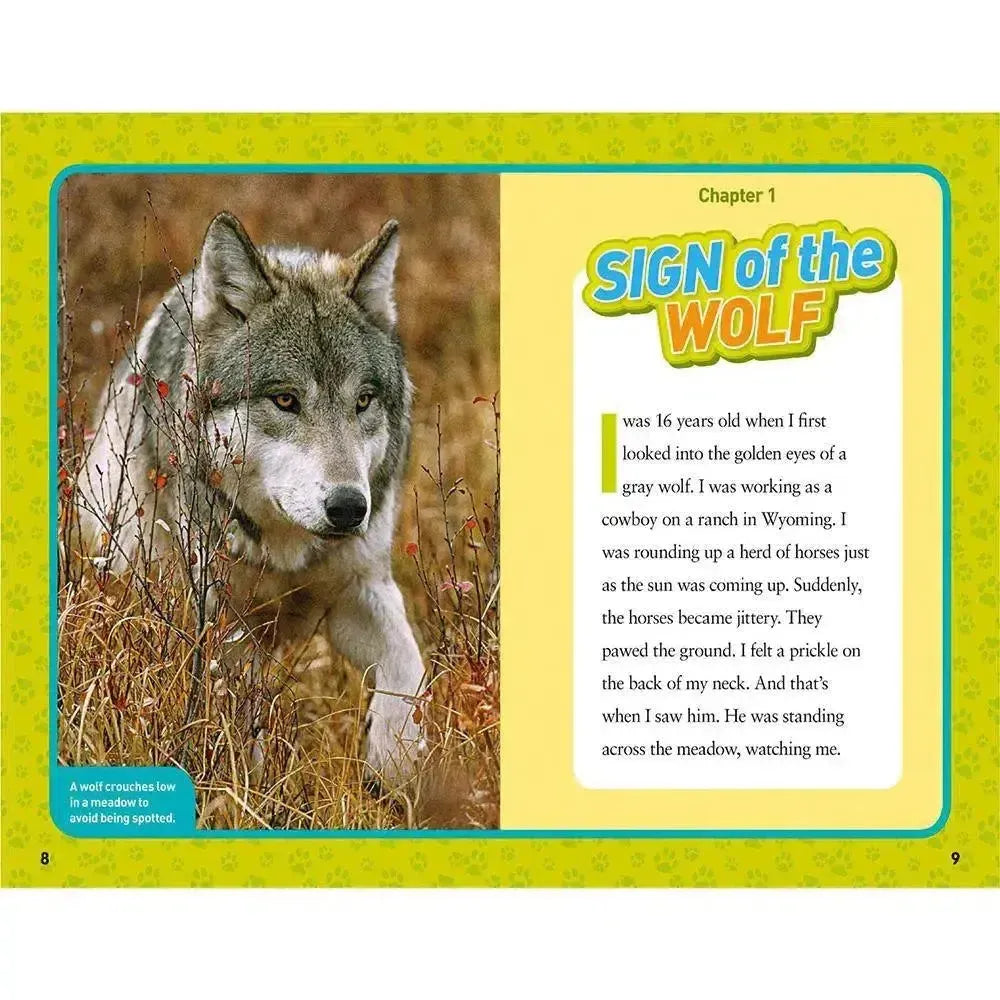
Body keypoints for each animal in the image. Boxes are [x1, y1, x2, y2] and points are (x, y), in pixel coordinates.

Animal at [78, 211, 425, 788]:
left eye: (363, 401)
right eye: (285, 399)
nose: (350, 509)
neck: (286, 552)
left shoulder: (361, 588)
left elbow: (409, 667)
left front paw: (393, 765)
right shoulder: (222, 619)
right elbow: (240, 708)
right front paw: (247, 778)